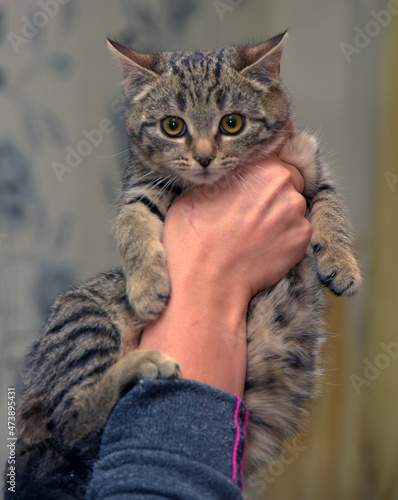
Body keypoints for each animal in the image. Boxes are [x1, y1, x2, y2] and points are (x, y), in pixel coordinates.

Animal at [5, 33, 360, 498]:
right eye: (173, 126)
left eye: (232, 123)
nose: (205, 157)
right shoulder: (140, 190)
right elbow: (131, 226)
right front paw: (145, 285)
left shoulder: (309, 162)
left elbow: (331, 207)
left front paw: (342, 261)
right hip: (83, 320)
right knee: (70, 419)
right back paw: (142, 365)